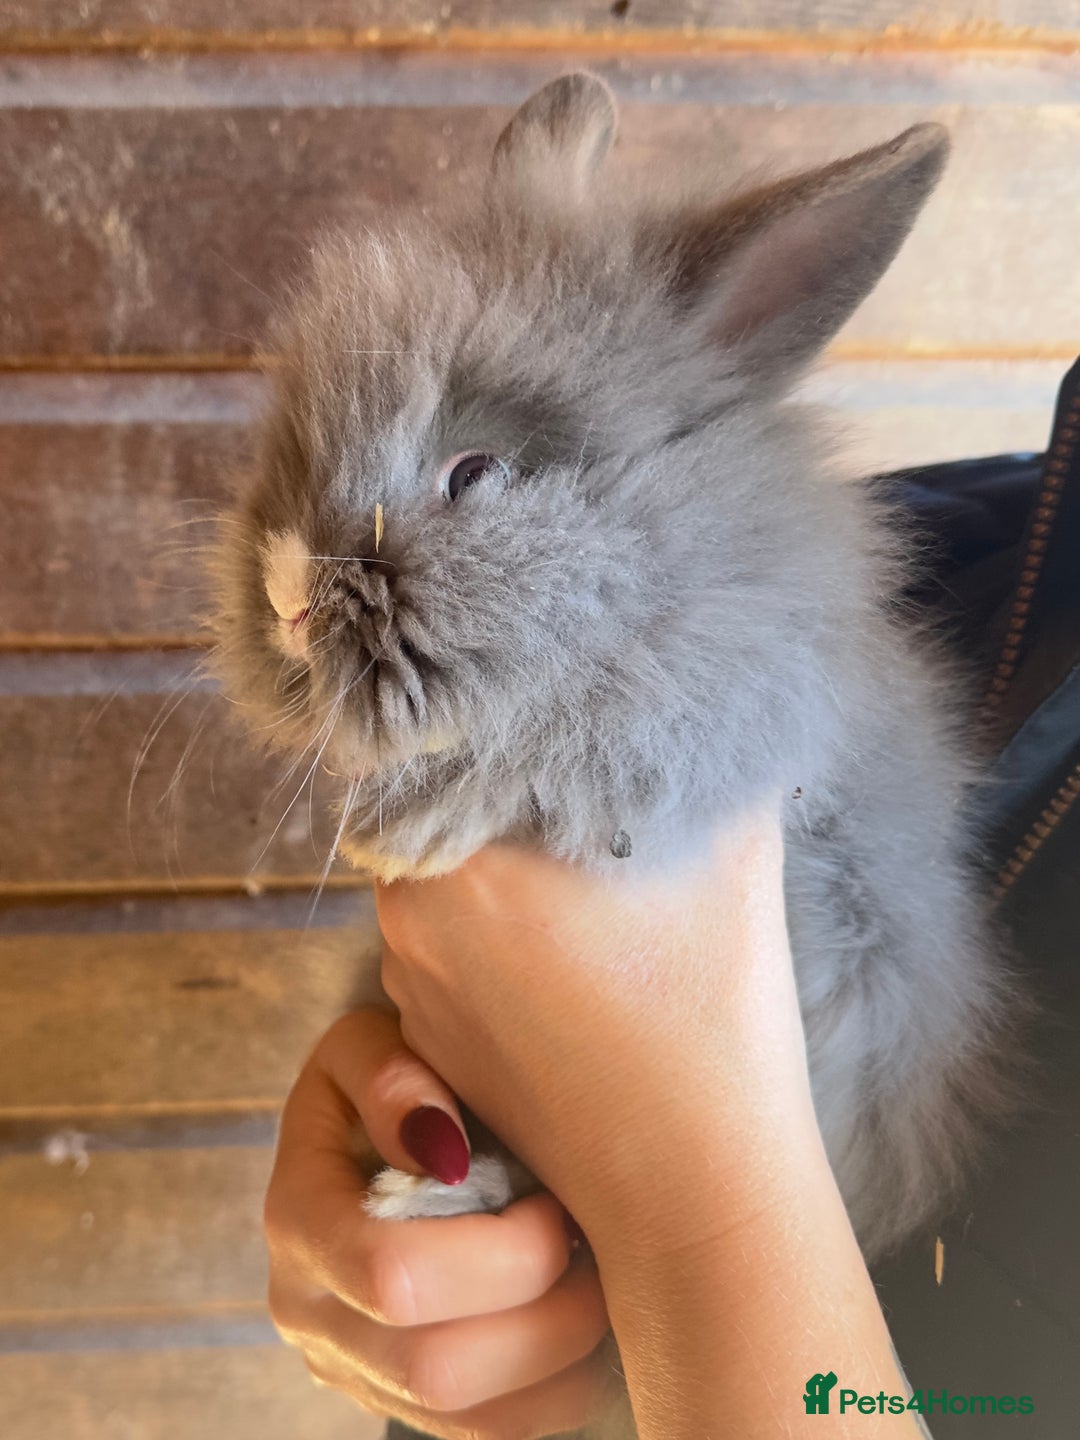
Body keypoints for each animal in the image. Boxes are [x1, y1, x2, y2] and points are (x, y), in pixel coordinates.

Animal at [210, 72, 1020, 1436]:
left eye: (476, 470)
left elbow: (585, 740)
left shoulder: (731, 705)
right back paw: (429, 1187)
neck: (666, 552)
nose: (280, 596)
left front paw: (411, 826)